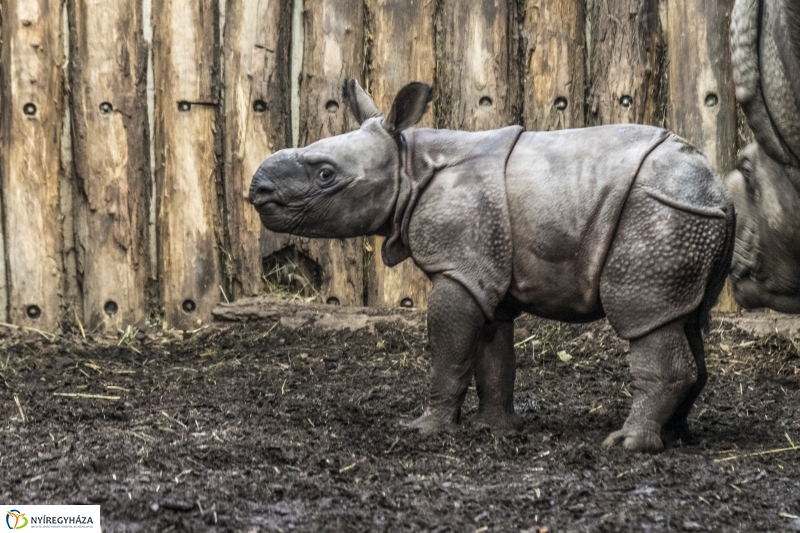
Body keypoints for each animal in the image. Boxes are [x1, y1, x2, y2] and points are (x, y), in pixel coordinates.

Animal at [248, 80, 732, 454]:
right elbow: (492, 356)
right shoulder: (482, 272)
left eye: (326, 175)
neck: (410, 165)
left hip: (659, 210)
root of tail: (719, 190)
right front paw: (495, 429)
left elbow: (449, 353)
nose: (258, 189)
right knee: (685, 320)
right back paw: (676, 437)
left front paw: (424, 429)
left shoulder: (457, 268)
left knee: (644, 316)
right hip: (684, 213)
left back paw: (626, 445)